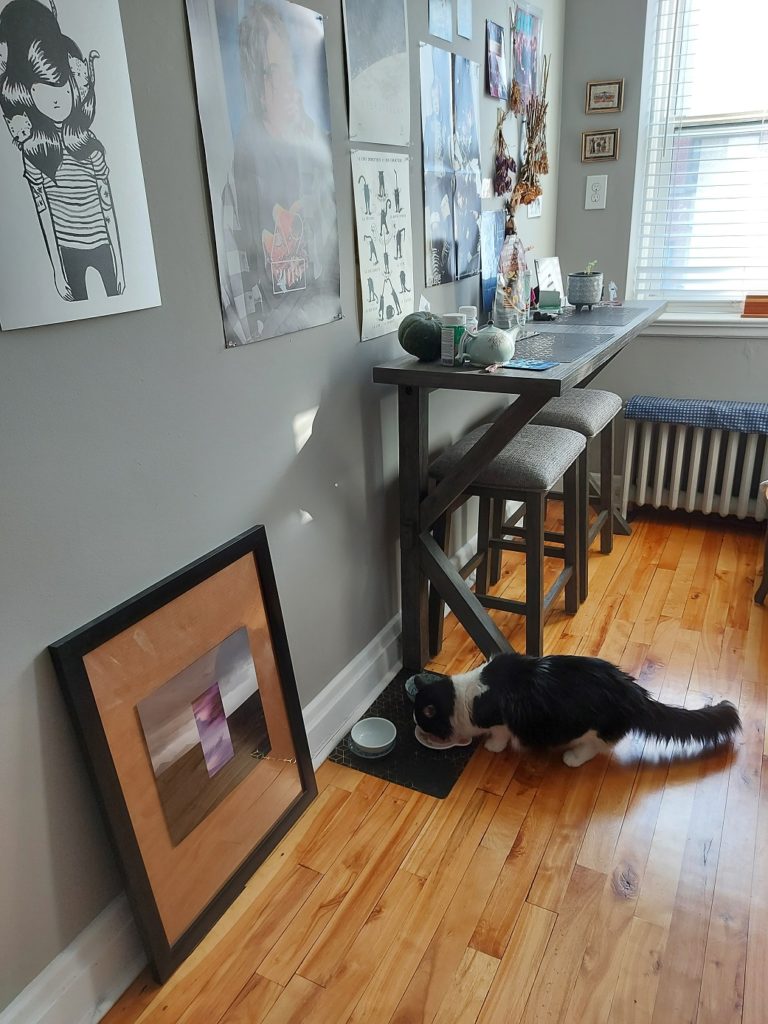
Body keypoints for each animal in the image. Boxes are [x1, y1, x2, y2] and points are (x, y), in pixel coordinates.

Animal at [411, 651, 741, 765]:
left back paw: (572, 758)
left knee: (596, 748)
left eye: (424, 721)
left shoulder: (501, 722)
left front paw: (492, 747)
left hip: (593, 728)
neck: (464, 696)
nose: (420, 728)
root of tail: (633, 693)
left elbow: (500, 736)